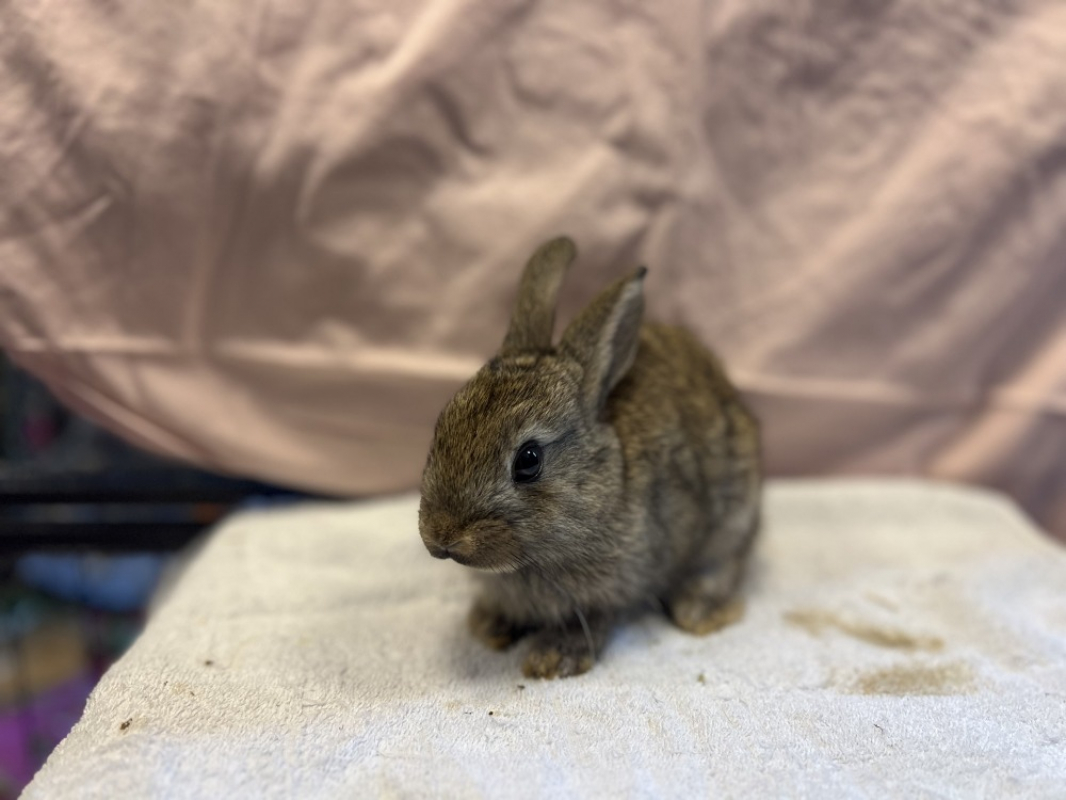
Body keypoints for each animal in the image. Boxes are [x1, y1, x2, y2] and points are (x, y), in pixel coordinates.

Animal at [418, 236, 761, 679]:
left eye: (529, 460)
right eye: (442, 425)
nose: (440, 537)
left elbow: (595, 617)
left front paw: (553, 659)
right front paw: (489, 626)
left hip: (733, 514)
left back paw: (699, 611)